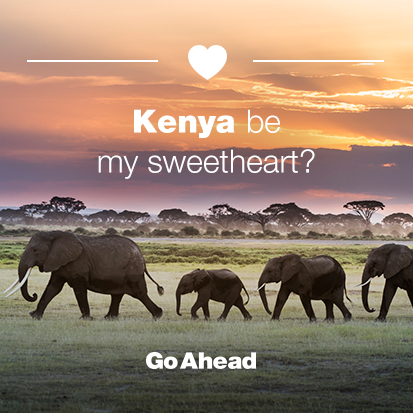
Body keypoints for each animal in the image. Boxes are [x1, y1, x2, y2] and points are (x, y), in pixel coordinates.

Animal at [4, 230, 164, 320]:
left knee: (139, 293)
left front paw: (85, 319)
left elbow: (79, 289)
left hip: (132, 270)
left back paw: (158, 315)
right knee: (117, 294)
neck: (54, 235)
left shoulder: (77, 264)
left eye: (35, 250)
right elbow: (53, 288)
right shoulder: (59, 262)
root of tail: (142, 256)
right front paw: (34, 316)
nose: (33, 295)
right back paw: (109, 318)